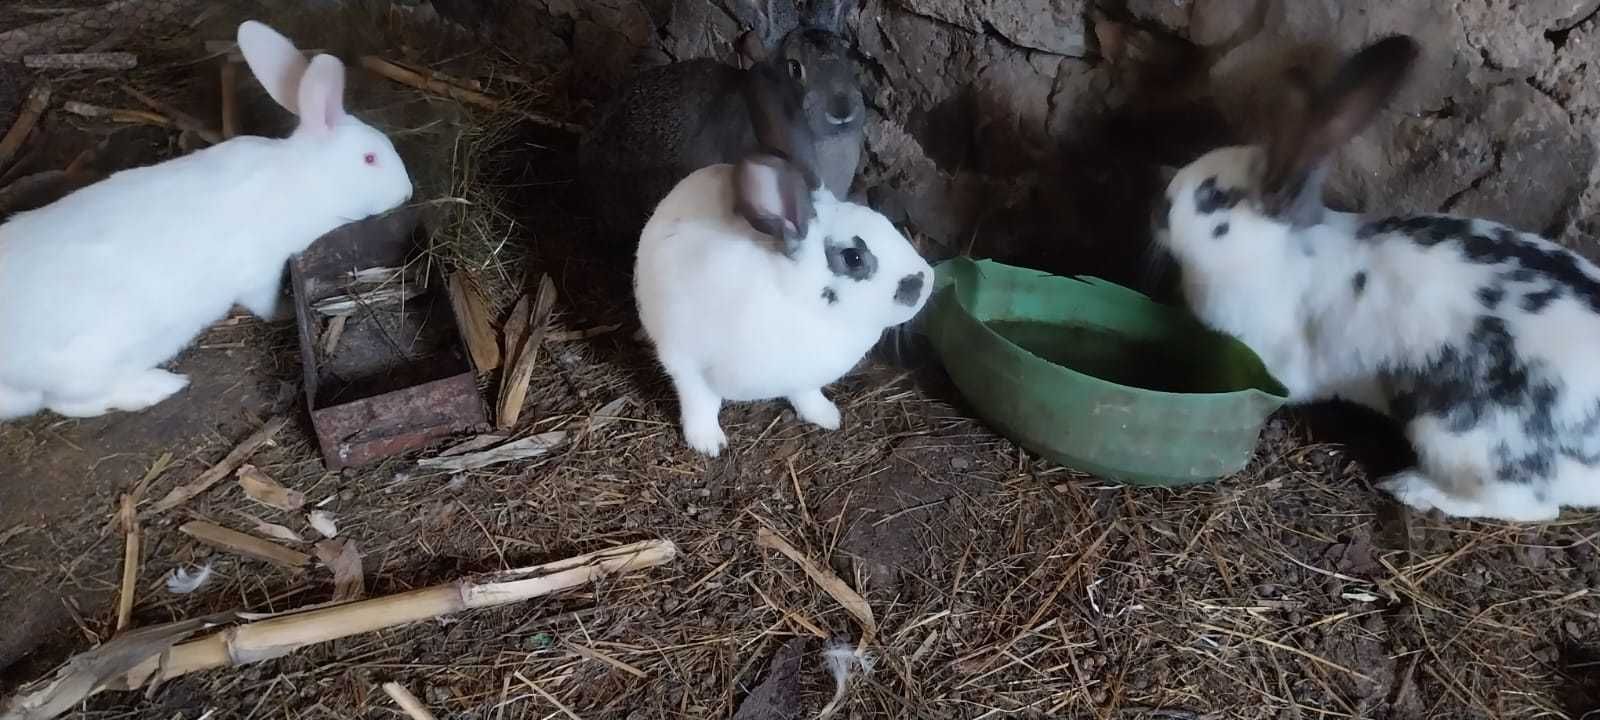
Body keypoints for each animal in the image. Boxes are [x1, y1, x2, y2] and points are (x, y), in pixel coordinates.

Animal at [0, 21, 419, 422]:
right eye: (370, 159)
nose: (407, 191)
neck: (305, 177)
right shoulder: (260, 271)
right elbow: (264, 302)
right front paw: (285, 311)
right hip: (91, 364)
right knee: (70, 404)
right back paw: (158, 387)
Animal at [1158, 35, 1600, 521]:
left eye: (1213, 196)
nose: (1162, 205)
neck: (1277, 252)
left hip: (1460, 437)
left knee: (1529, 507)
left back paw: (1412, 488)